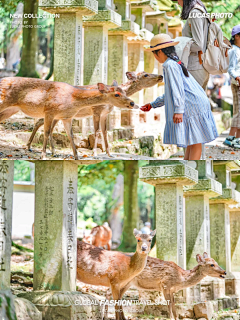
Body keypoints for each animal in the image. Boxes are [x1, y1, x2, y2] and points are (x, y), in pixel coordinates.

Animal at [0, 76, 138, 159]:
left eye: (125, 92)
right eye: (117, 94)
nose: (132, 103)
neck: (72, 99)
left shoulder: (66, 117)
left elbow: (70, 135)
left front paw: (76, 157)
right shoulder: (49, 111)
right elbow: (46, 132)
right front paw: (43, 156)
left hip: (10, 110)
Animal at [24, 72, 163, 158]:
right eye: (145, 74)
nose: (161, 76)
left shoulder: (105, 113)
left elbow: (104, 131)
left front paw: (109, 153)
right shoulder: (97, 111)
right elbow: (96, 131)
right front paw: (95, 153)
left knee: (46, 126)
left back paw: (50, 151)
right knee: (41, 123)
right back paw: (31, 147)